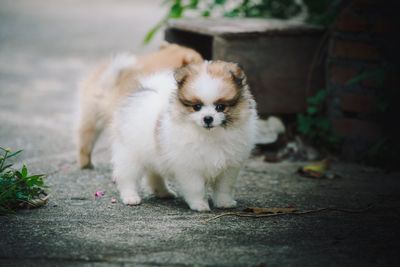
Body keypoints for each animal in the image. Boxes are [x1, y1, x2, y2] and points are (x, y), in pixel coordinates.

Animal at [111, 60, 258, 211]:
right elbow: (196, 188)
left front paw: (225, 203)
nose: (208, 118)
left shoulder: (229, 167)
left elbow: (224, 188)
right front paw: (200, 205)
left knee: (154, 175)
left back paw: (164, 192)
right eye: (197, 107)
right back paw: (131, 197)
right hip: (130, 154)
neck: (209, 135)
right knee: (127, 177)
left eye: (221, 107)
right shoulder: (189, 167)